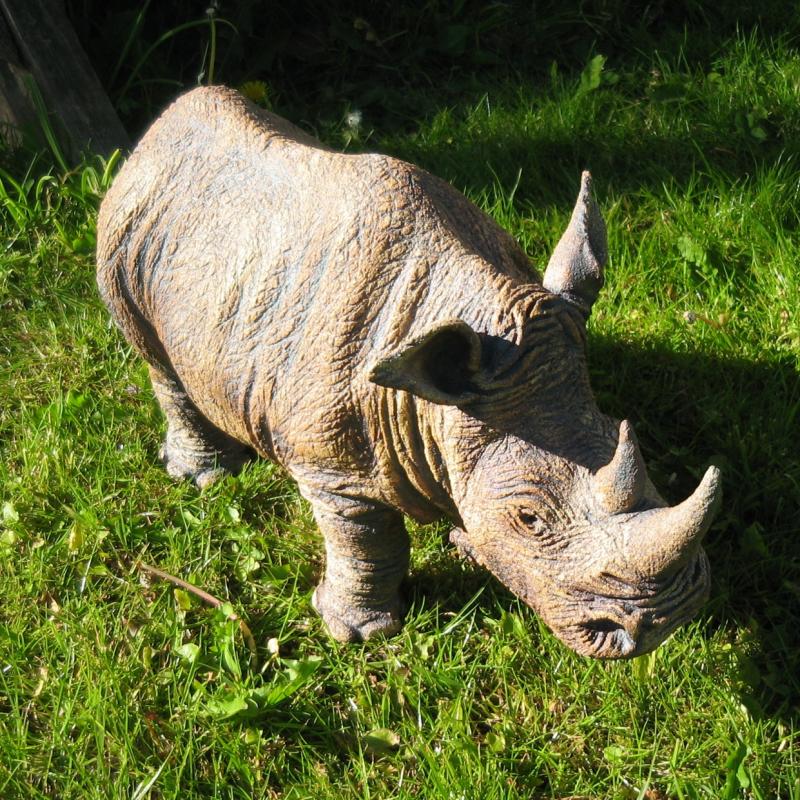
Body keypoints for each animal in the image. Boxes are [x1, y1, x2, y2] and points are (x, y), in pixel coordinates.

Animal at [96, 86, 721, 659]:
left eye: (624, 434)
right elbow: (368, 542)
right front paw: (361, 633)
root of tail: (163, 124)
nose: (667, 624)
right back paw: (202, 477)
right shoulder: (333, 470)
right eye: (529, 518)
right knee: (156, 357)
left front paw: (463, 546)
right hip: (127, 233)